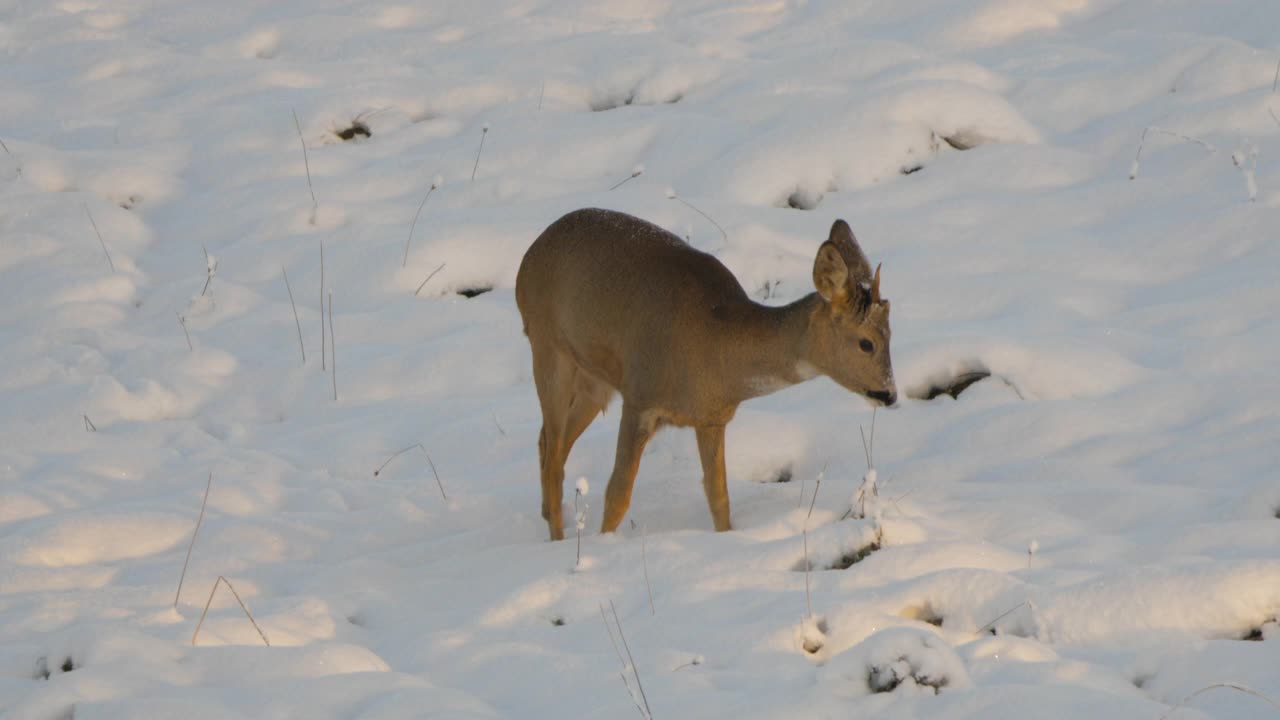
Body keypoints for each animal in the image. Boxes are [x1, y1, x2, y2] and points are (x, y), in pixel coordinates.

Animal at [514, 207, 896, 538]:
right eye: (866, 343)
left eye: (891, 333)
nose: (889, 393)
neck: (719, 347)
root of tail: (528, 259)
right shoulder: (640, 397)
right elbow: (618, 495)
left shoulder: (711, 418)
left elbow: (719, 498)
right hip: (547, 346)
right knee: (554, 456)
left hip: (594, 379)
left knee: (547, 442)